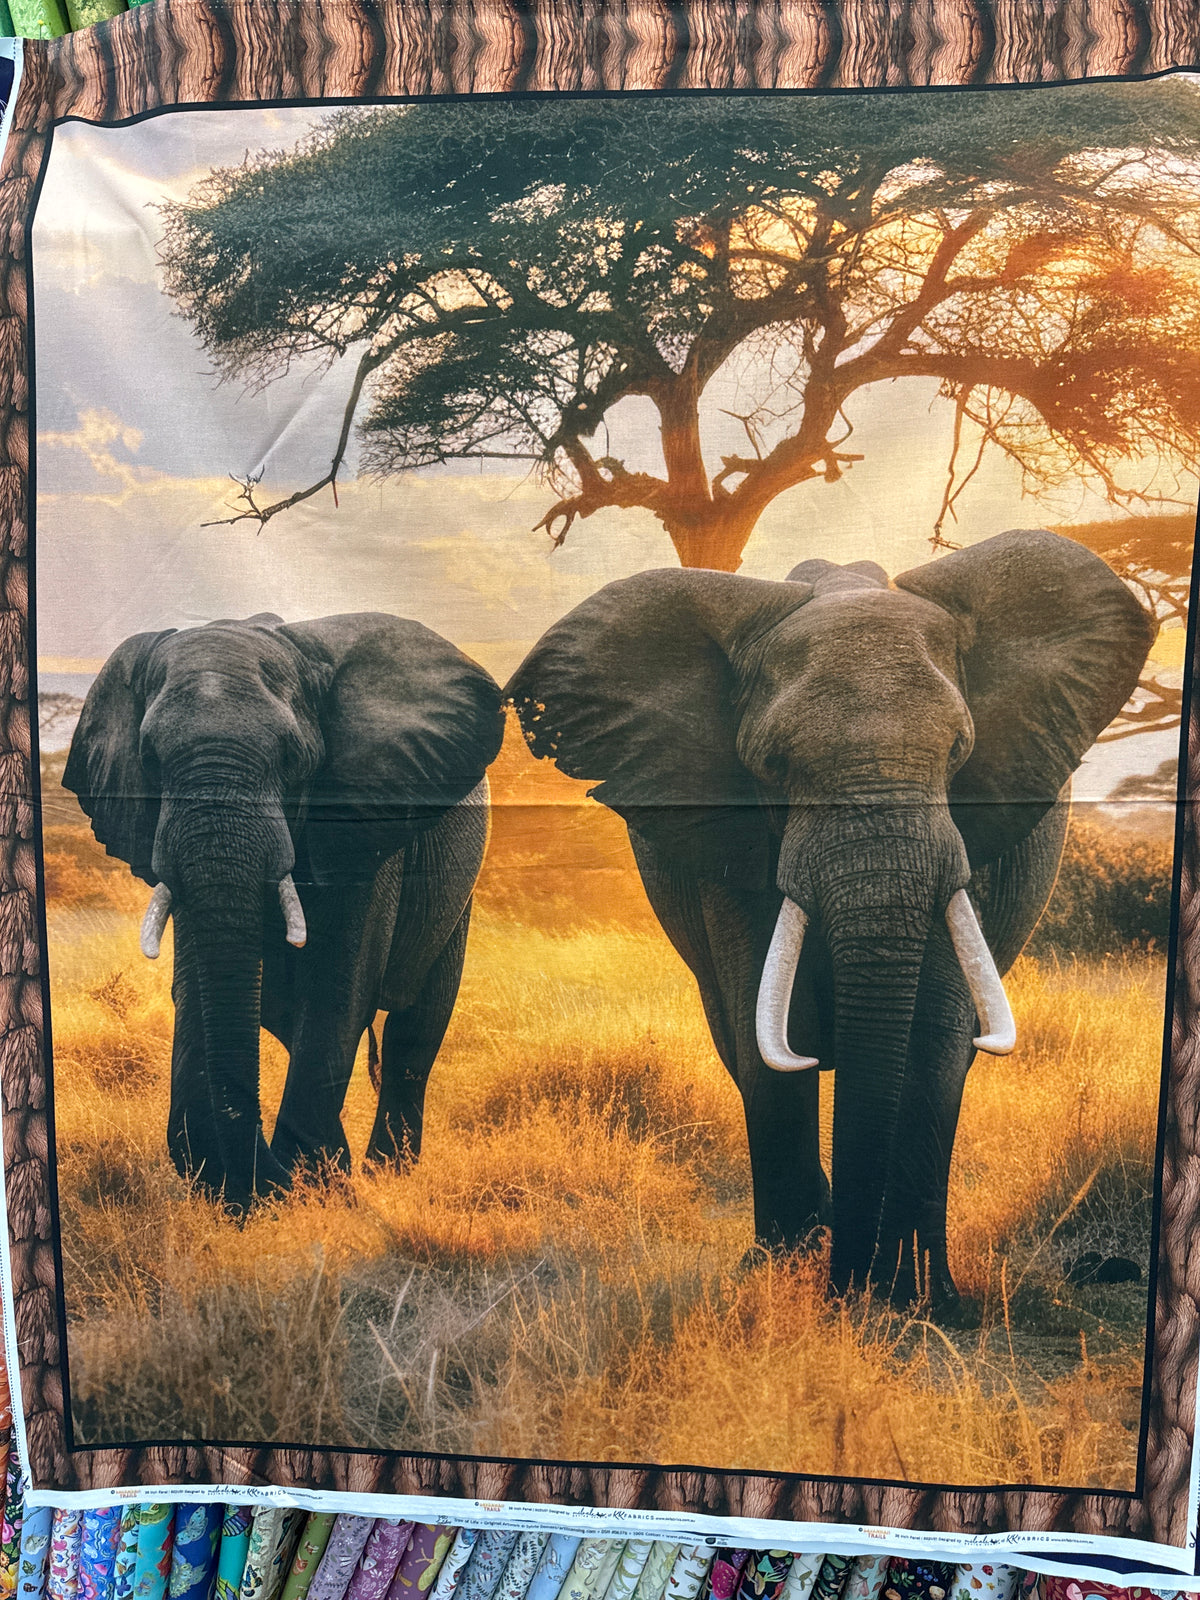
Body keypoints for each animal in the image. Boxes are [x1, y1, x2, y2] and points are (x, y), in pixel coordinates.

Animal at [64, 610, 504, 1211]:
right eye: (149, 761)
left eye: (292, 759)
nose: (249, 1183)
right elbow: (197, 984)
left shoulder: (361, 825)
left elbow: (338, 986)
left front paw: (312, 1186)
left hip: (457, 894)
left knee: (413, 1032)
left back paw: (384, 1174)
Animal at [507, 530, 1156, 1308]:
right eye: (772, 762)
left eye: (959, 752)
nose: (847, 1288)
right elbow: (768, 1033)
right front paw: (784, 1279)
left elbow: (934, 1035)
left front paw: (919, 1304)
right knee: (737, 1038)